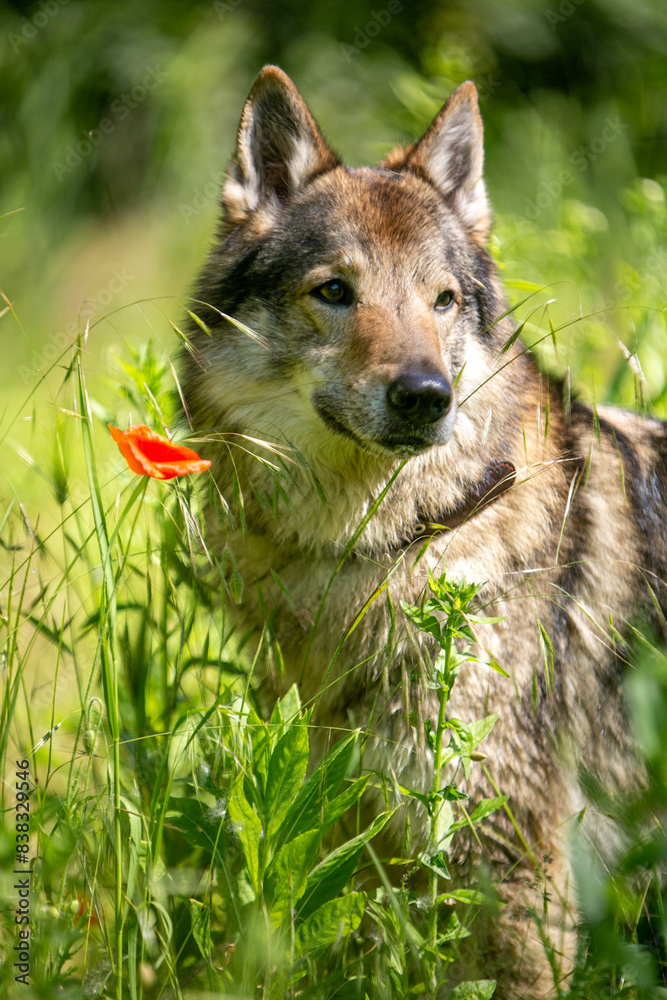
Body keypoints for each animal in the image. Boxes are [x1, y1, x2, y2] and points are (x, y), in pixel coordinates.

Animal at [180, 66, 667, 997]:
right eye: (335, 291)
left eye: (442, 301)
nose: (424, 396)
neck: (384, 550)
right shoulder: (361, 835)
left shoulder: (515, 867)